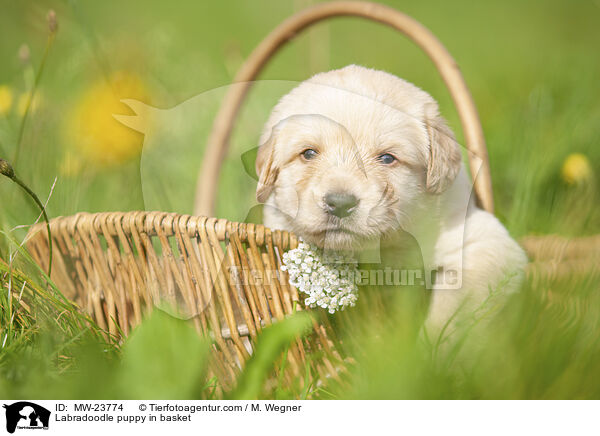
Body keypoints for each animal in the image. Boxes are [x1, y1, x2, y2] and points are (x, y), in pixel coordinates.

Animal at [253, 64, 524, 330]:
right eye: (309, 153)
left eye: (387, 158)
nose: (340, 204)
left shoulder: (482, 244)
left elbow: (450, 314)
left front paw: (429, 343)